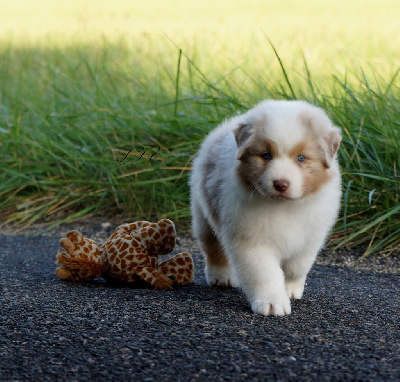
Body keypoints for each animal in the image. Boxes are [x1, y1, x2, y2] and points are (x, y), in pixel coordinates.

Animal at [190, 99, 340, 316]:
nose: (281, 184)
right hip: (203, 213)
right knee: (213, 248)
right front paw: (272, 303)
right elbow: (264, 273)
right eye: (266, 155)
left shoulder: (311, 236)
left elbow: (297, 266)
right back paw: (221, 277)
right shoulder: (251, 239)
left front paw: (290, 289)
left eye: (301, 158)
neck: (285, 207)